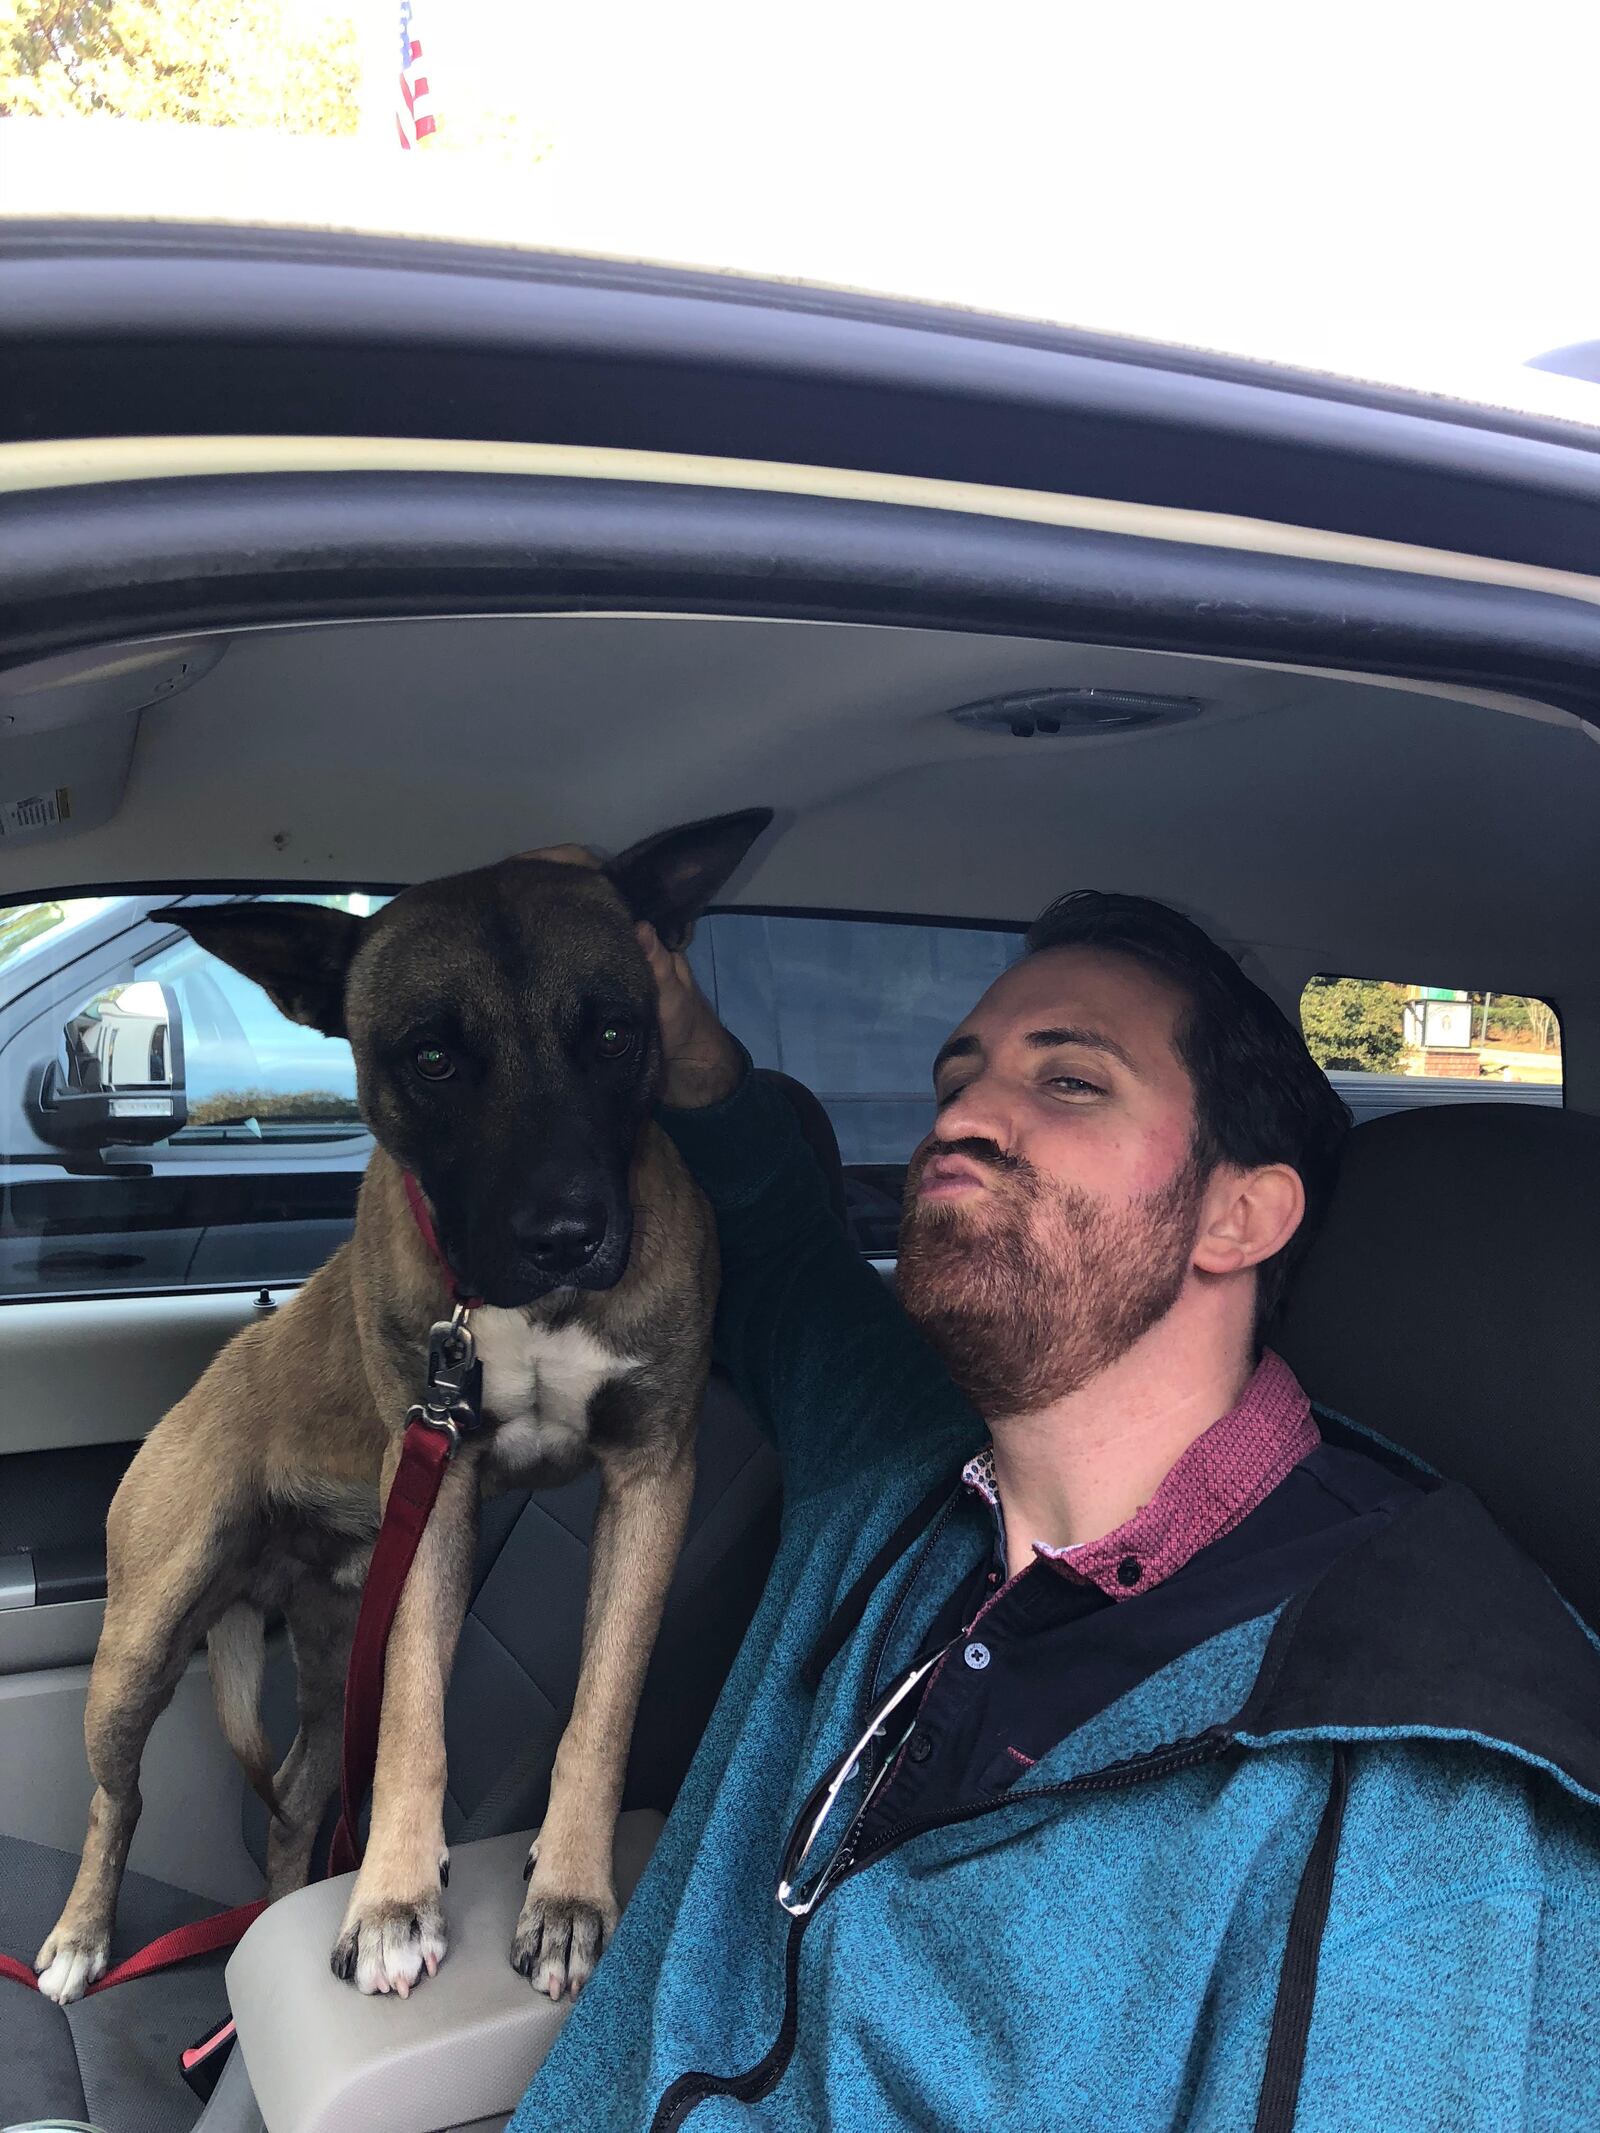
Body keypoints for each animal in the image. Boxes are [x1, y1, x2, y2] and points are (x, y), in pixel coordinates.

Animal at [31, 806, 772, 2005]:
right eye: (431, 1059)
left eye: (616, 1035)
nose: (568, 1234)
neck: (524, 1308)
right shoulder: (438, 1487)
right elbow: (418, 1718)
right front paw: (389, 1902)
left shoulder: (654, 1479)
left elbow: (603, 1708)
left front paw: (569, 1890)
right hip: (142, 1641)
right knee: (117, 1797)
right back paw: (82, 1935)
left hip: (332, 1643)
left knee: (293, 1794)